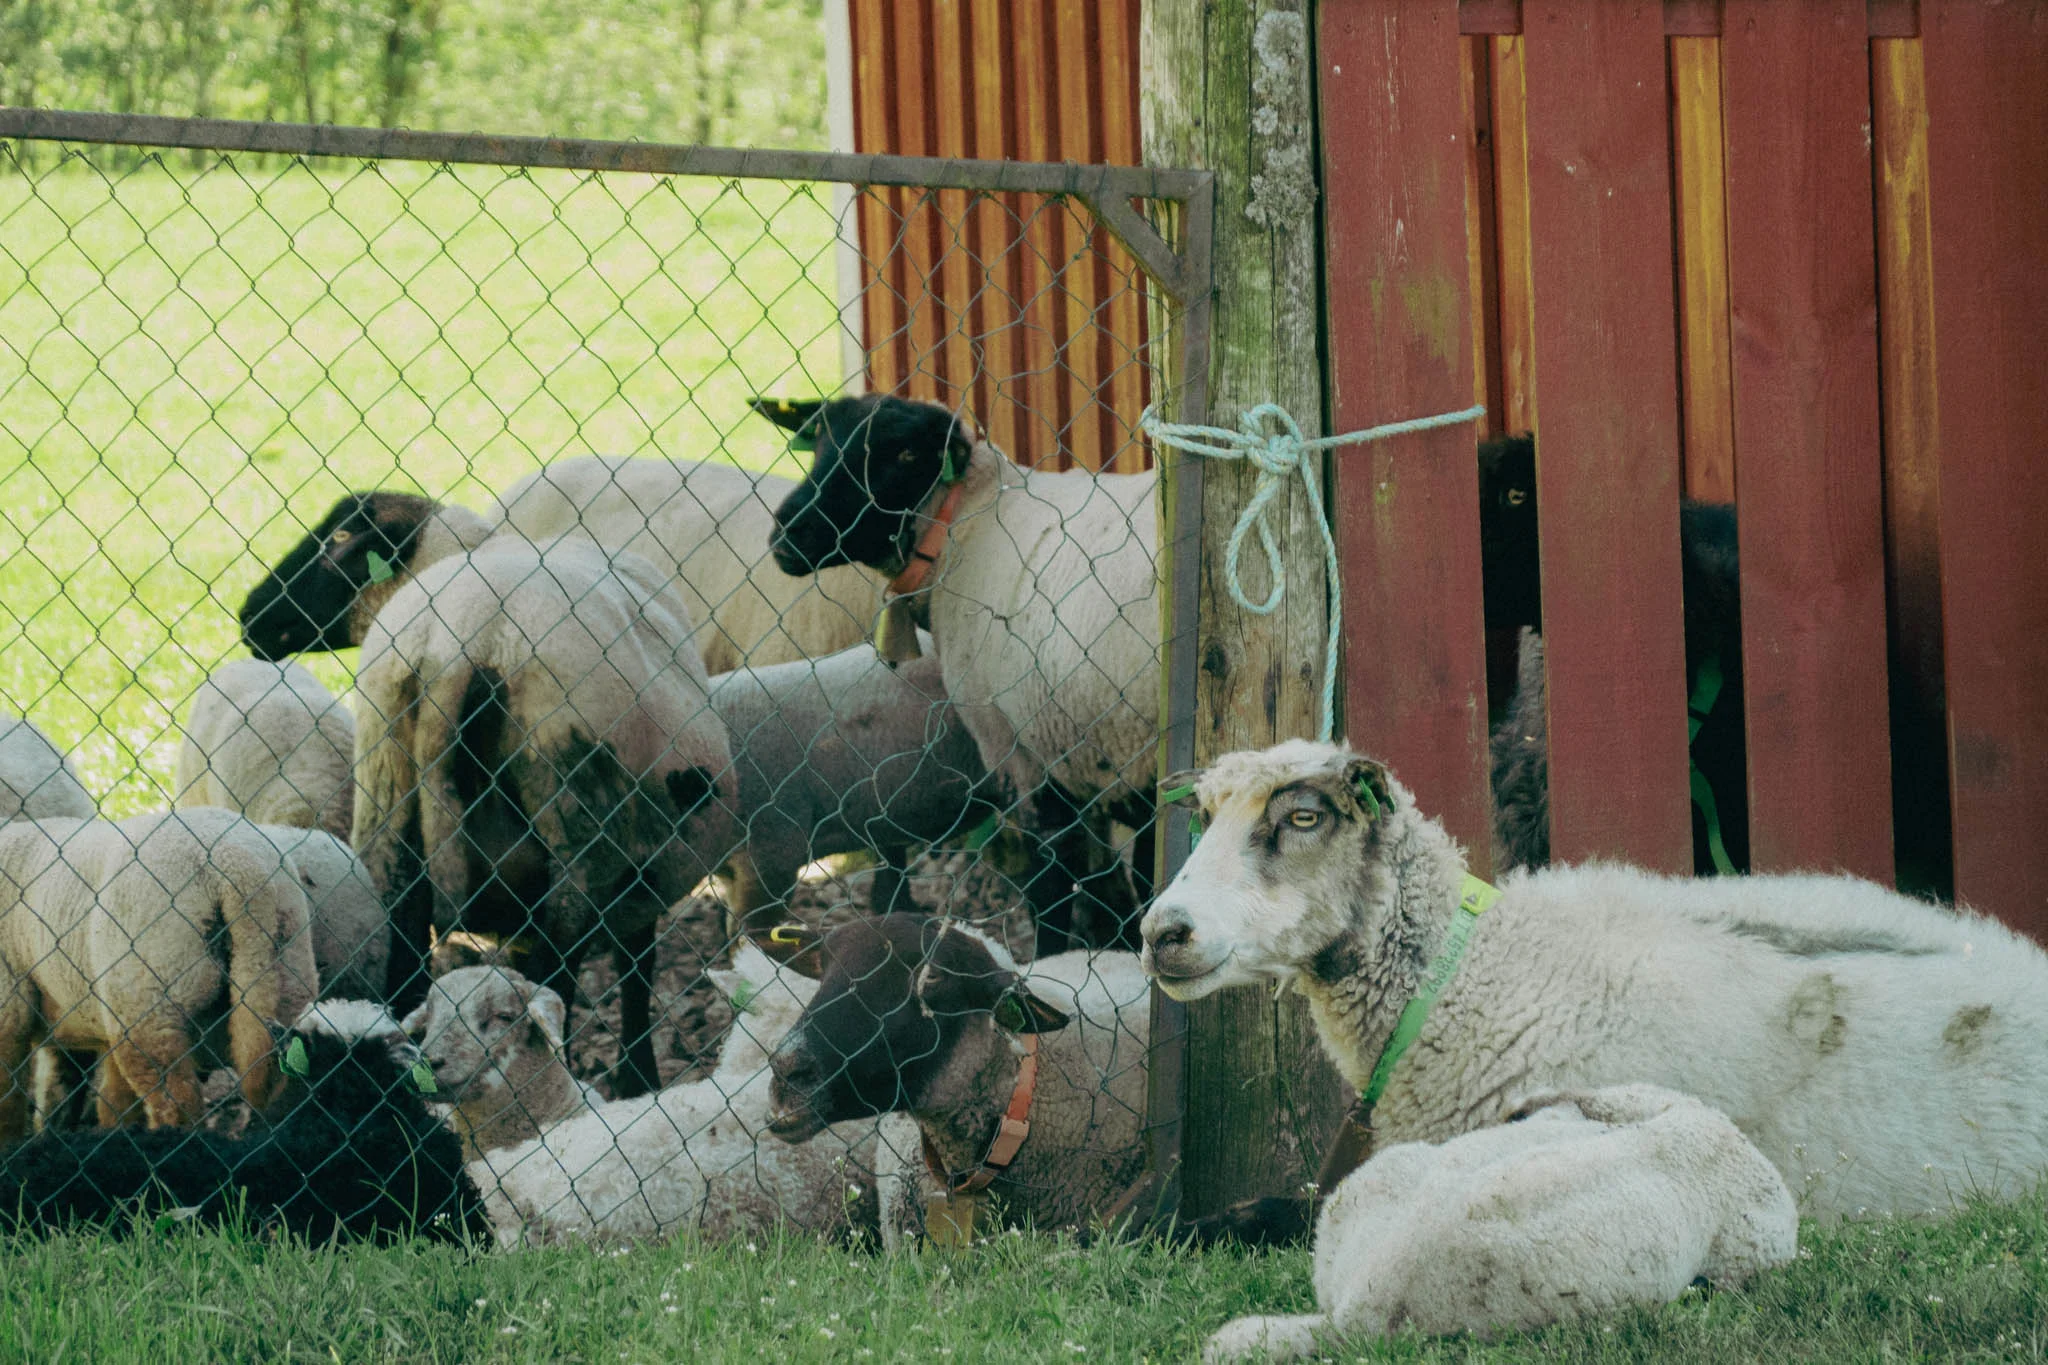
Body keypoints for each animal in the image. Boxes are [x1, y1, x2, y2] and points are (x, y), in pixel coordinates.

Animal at [352, 533, 737, 1098]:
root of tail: (460, 641)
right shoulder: (635, 876)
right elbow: (635, 969)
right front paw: (637, 1079)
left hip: (386, 797)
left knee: (404, 974)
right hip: (578, 829)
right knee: (555, 975)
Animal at [760, 394, 1159, 954]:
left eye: (904, 453)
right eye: (818, 439)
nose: (788, 533)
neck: (963, 522)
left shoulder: (1020, 751)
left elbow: (1051, 891)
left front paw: (1051, 962)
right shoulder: (1095, 765)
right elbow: (1125, 889)